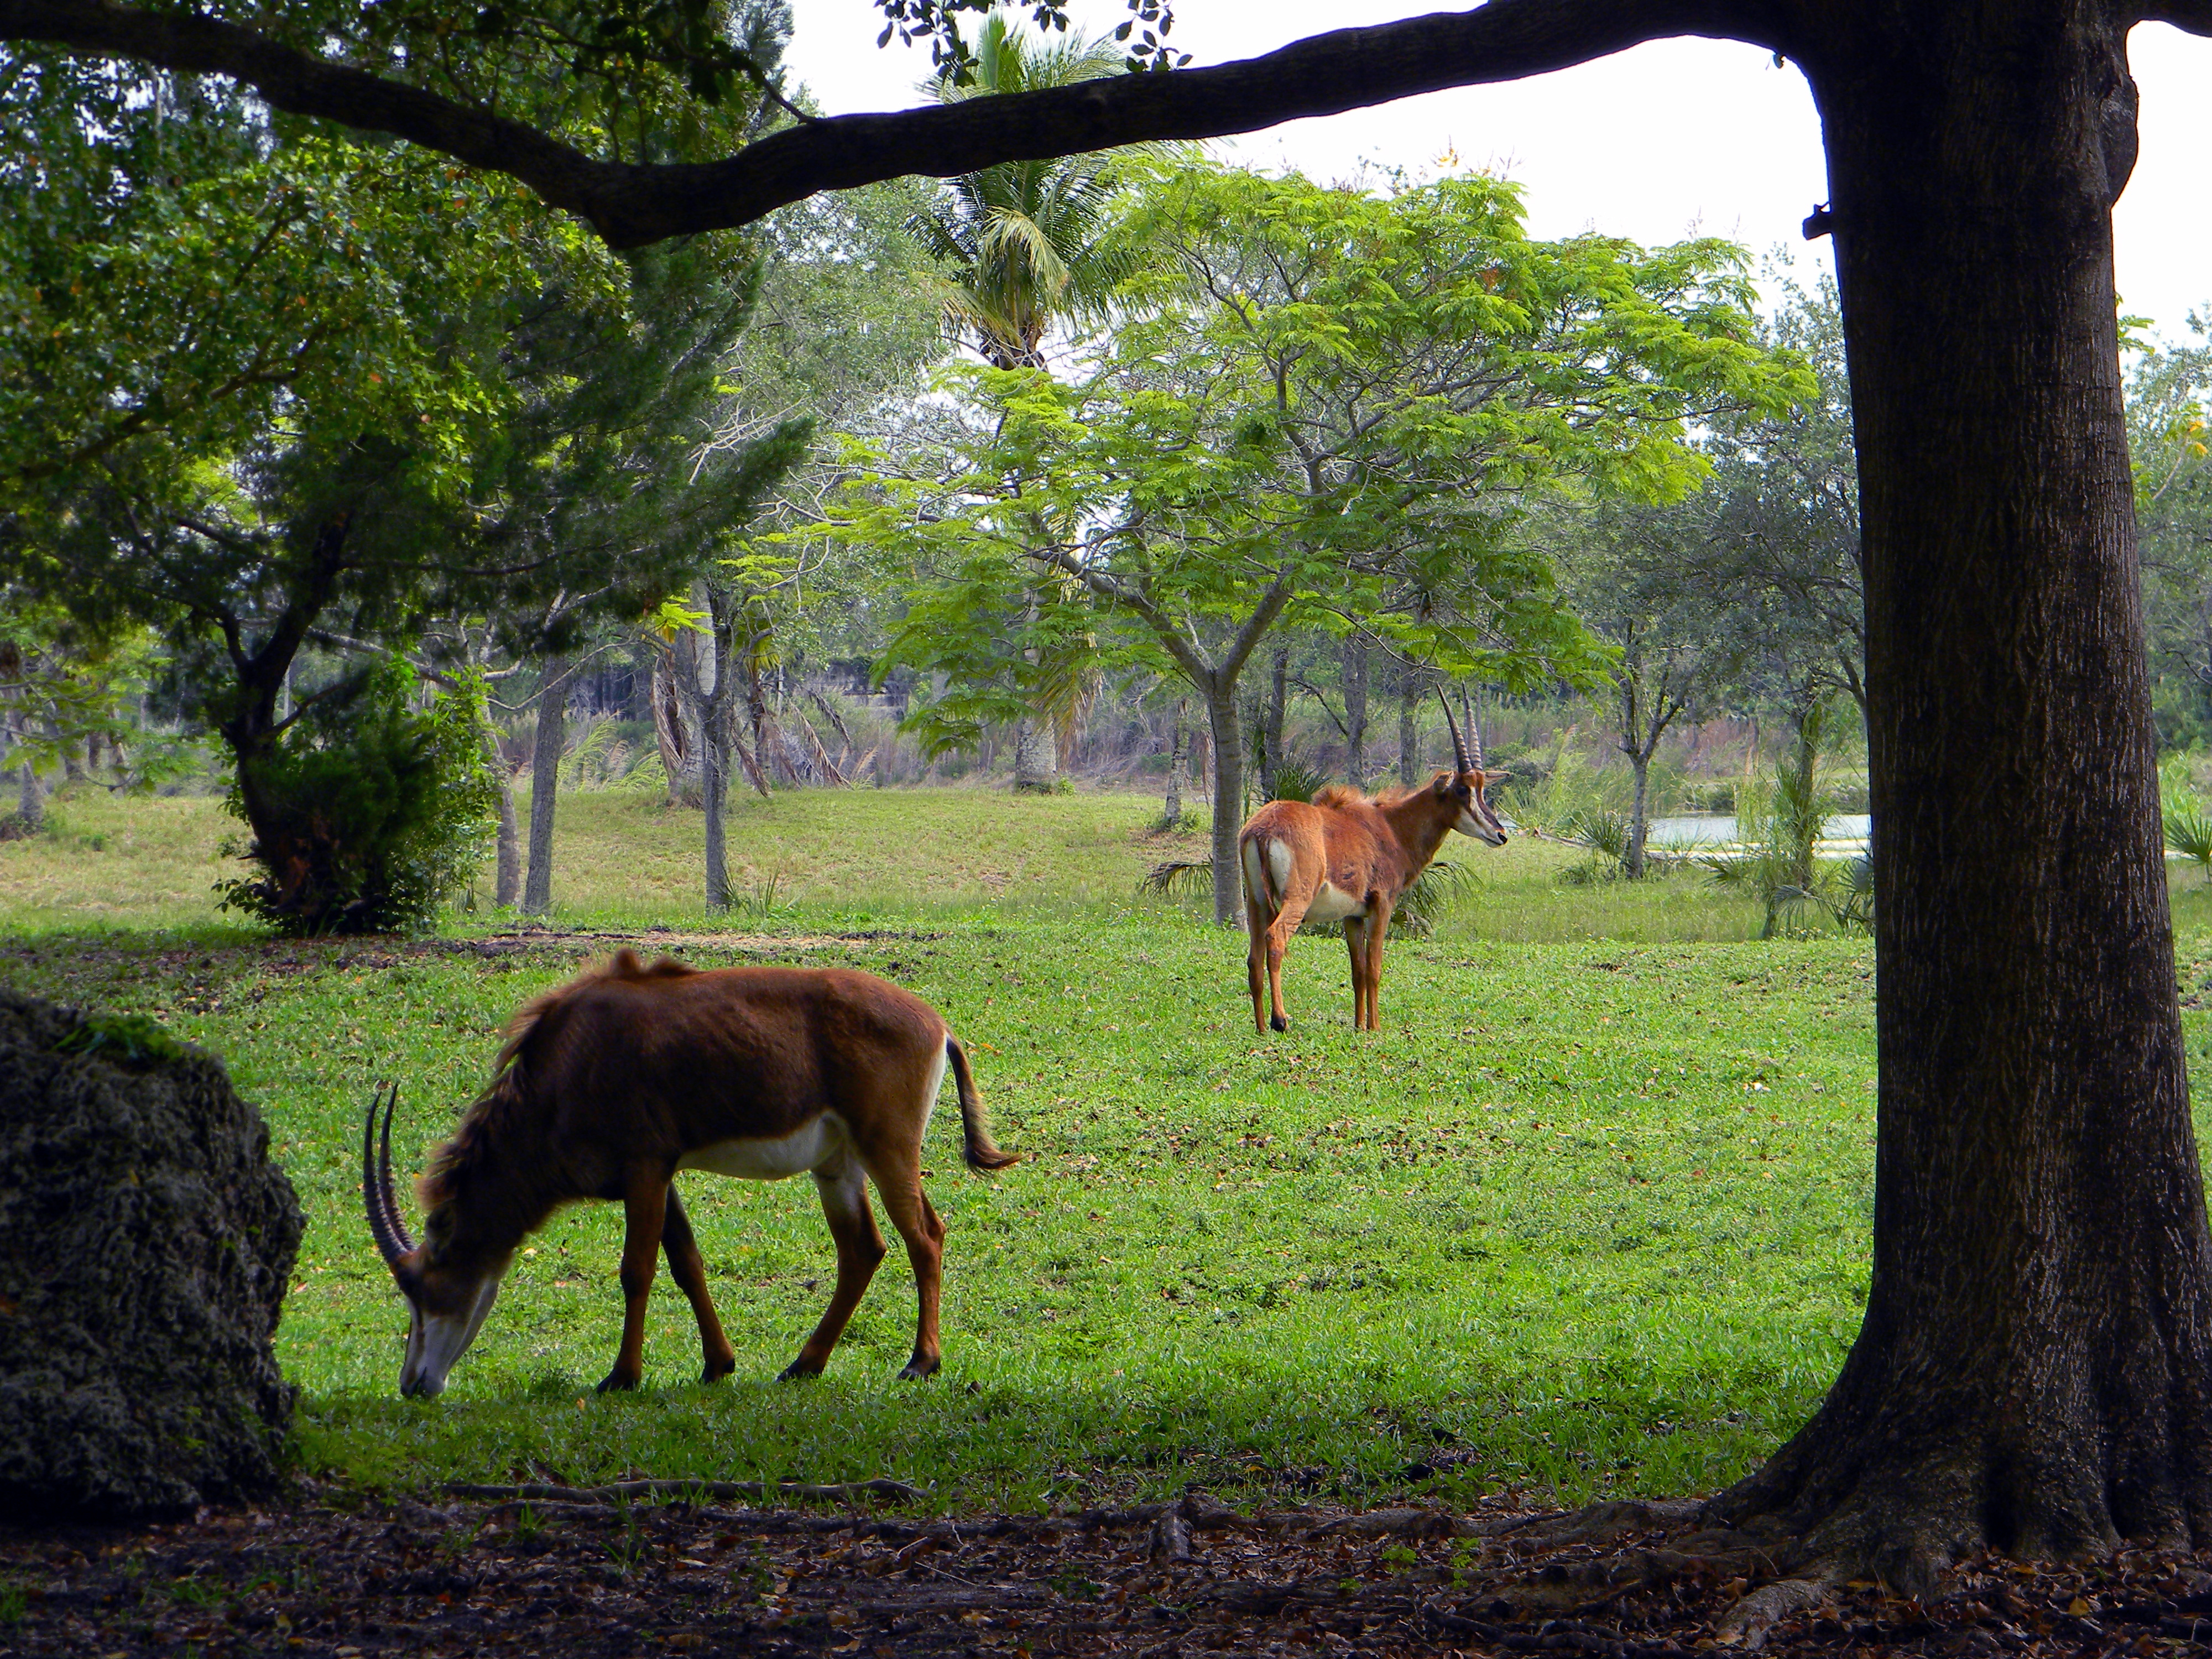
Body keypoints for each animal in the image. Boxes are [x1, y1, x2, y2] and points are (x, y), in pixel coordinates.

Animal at [363, 947, 1018, 1407]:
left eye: (421, 1285)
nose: (413, 1385)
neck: (566, 1064)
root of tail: (937, 1024)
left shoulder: (644, 1167)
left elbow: (638, 1271)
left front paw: (622, 1377)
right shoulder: (662, 1173)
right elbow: (686, 1262)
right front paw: (717, 1364)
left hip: (887, 1148)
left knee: (924, 1237)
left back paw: (920, 1363)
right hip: (837, 1165)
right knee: (864, 1250)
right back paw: (804, 1364)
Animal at [1239, 690, 1513, 1035]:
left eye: (1483, 788)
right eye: (1463, 789)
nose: (1500, 834)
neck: (1391, 826)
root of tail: (1263, 829)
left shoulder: (1352, 915)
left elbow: (1357, 971)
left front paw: (1359, 1027)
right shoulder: (1382, 904)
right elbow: (1374, 968)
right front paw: (1376, 1028)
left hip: (1257, 902)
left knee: (1254, 957)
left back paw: (1261, 1027)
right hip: (1297, 898)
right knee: (1275, 940)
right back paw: (1280, 1021)